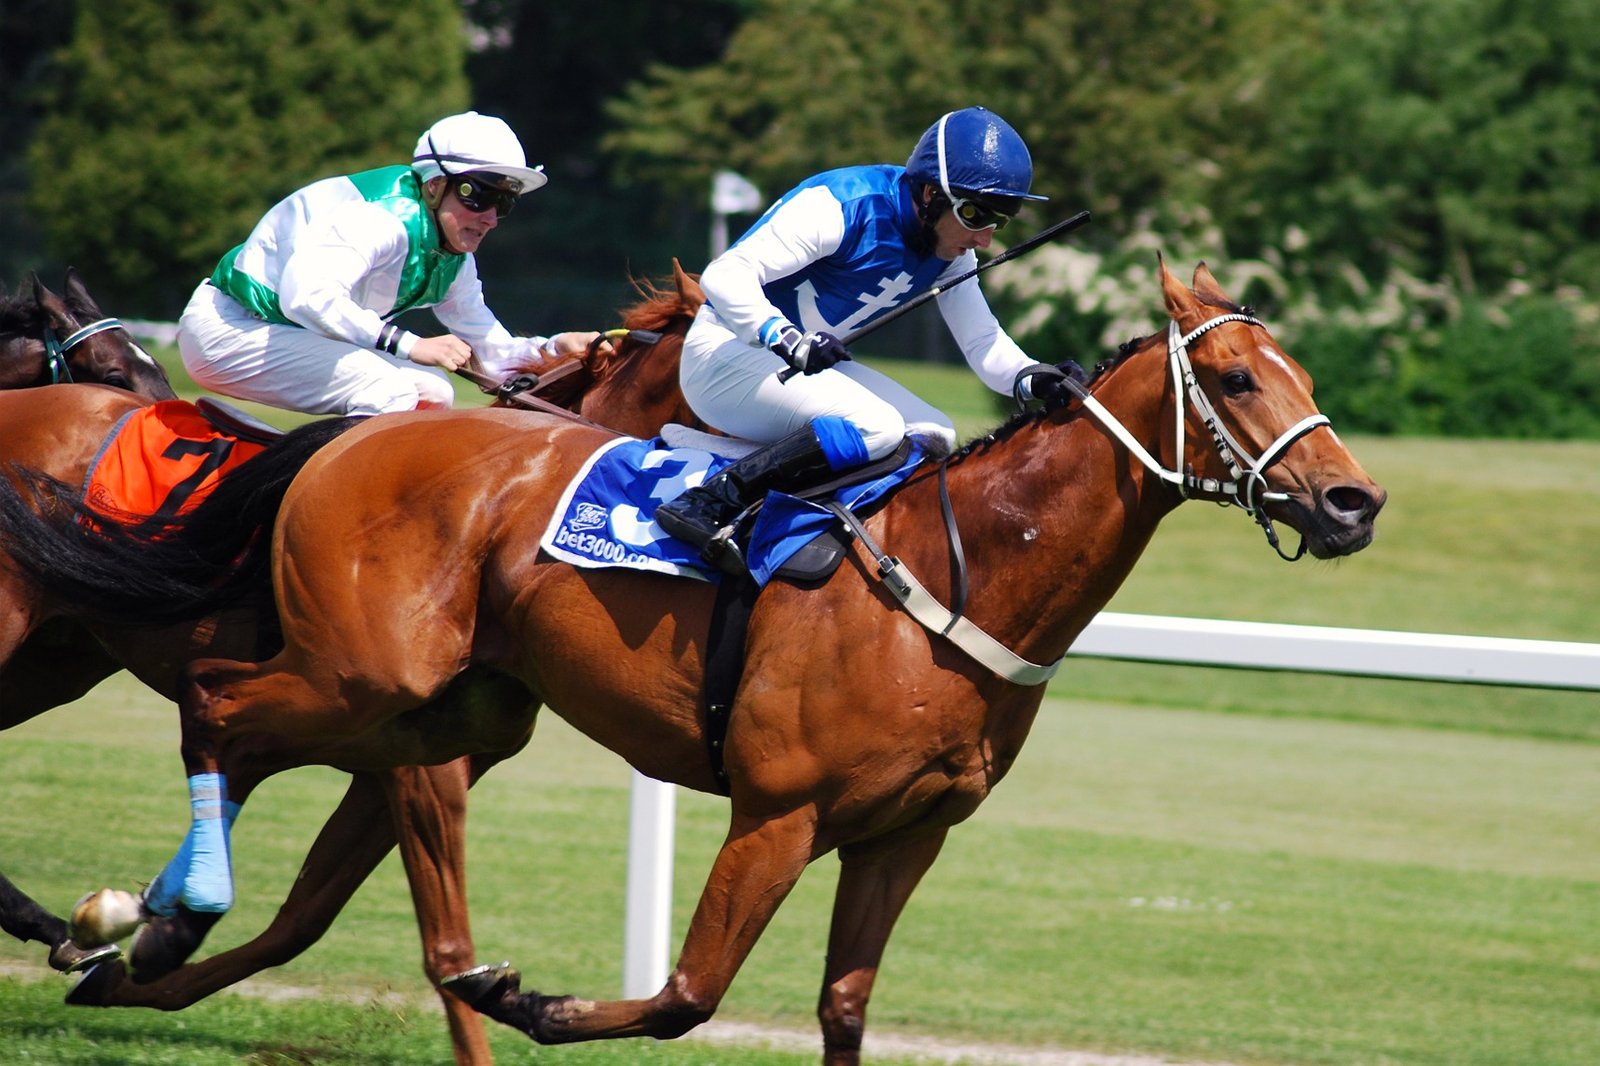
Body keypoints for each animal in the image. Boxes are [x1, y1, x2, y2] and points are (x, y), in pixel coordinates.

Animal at [0, 260, 1382, 1056]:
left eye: (1299, 368)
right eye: (1233, 376)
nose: (1353, 501)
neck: (961, 570)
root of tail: (347, 441)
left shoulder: (905, 833)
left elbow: (841, 1008)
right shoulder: (778, 811)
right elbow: (677, 992)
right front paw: (532, 1003)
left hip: (443, 711)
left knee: (246, 768)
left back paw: (135, 938)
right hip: (359, 682)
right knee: (218, 708)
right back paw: (144, 914)